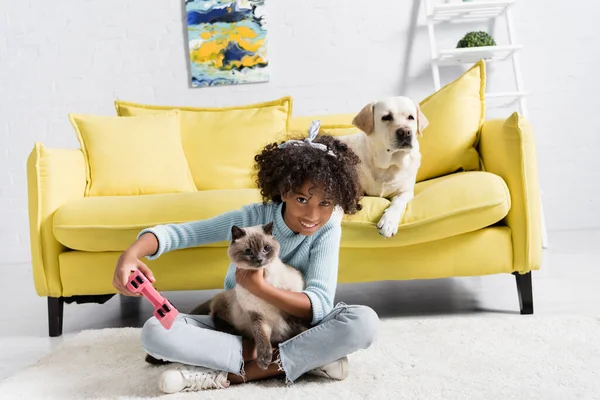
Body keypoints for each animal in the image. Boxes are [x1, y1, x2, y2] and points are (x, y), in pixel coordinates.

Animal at [209, 222, 310, 368]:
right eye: (248, 251)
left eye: (266, 248)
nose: (259, 260)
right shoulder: (257, 316)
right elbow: (261, 338)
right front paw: (263, 361)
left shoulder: (289, 309)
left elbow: (302, 329)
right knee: (217, 319)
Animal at [340, 96, 428, 238]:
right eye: (386, 117)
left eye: (411, 117)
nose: (405, 132)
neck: (389, 165)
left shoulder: (406, 191)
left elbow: (398, 203)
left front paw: (388, 222)